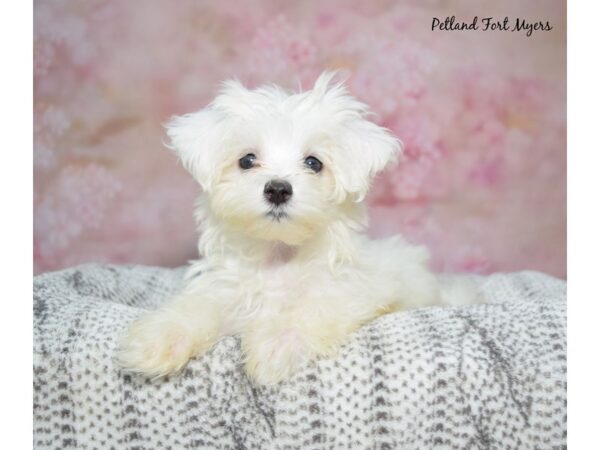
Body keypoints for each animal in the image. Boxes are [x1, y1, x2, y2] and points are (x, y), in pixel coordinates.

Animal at [118, 72, 478, 384]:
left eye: (313, 163)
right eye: (247, 160)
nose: (278, 189)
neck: (279, 256)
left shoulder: (349, 288)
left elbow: (311, 308)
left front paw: (275, 343)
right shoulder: (225, 288)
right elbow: (198, 306)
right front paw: (158, 339)